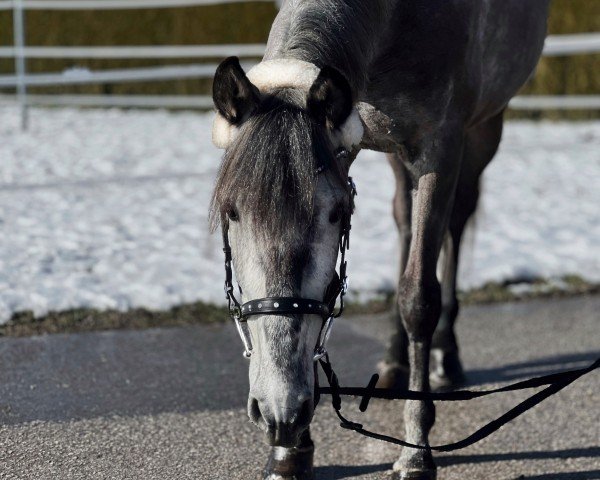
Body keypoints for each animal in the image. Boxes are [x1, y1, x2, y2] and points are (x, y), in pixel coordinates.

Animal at [209, 1, 552, 478]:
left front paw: (416, 450)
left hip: (485, 128)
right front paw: (290, 450)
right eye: (232, 211)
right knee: (405, 221)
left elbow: (419, 297)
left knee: (456, 223)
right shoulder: (346, 140)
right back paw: (393, 359)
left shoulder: (441, 147)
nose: (279, 410)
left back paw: (446, 356)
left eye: (336, 213)